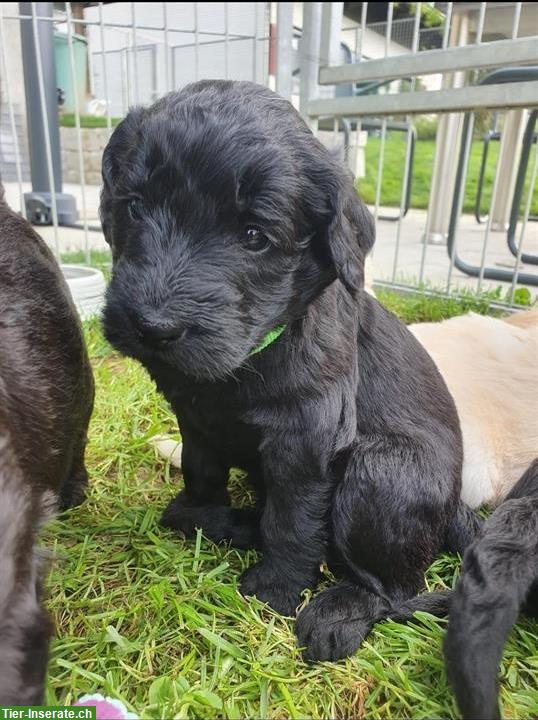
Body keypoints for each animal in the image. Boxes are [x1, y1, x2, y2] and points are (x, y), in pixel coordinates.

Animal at [101, 81, 474, 660]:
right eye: (135, 208)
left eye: (255, 236)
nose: (153, 327)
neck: (250, 358)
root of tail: (459, 505)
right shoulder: (195, 417)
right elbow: (201, 469)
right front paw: (201, 516)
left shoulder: (305, 436)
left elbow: (293, 518)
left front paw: (275, 588)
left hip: (382, 472)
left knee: (397, 590)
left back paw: (336, 614)